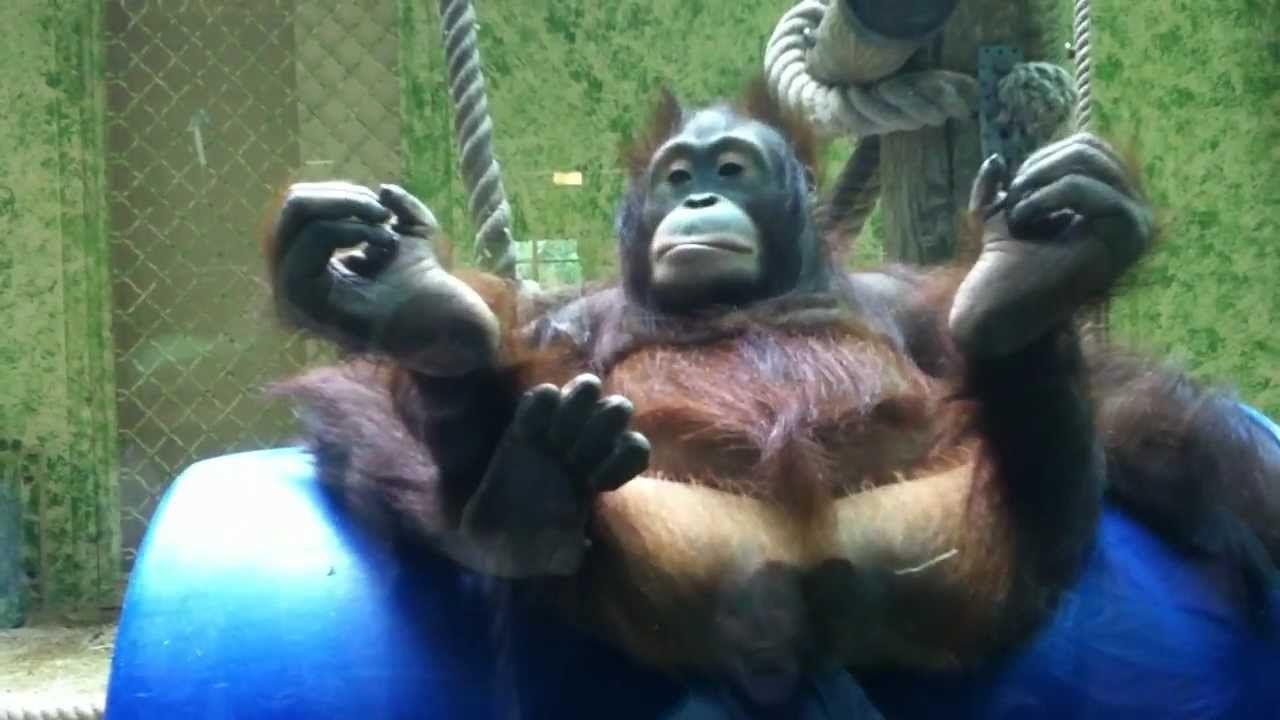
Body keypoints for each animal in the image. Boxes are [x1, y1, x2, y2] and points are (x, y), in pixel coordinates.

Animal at [262, 81, 1279, 708]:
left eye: (732, 170)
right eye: (678, 174)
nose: (698, 201)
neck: (738, 298)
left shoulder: (907, 298)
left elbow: (1128, 405)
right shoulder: (564, 318)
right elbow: (370, 397)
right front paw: (394, 305)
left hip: (990, 570)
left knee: (1047, 477)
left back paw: (1030, 285)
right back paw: (504, 455)